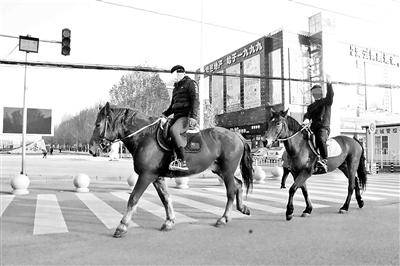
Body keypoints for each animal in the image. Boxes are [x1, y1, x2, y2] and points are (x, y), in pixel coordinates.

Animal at [89, 103, 255, 238]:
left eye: (97, 124)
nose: (91, 149)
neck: (144, 136)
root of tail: (236, 135)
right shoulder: (156, 177)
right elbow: (166, 199)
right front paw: (169, 221)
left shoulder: (146, 176)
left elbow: (133, 198)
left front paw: (122, 226)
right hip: (220, 170)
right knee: (238, 184)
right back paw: (243, 208)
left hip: (227, 171)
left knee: (231, 191)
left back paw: (223, 218)